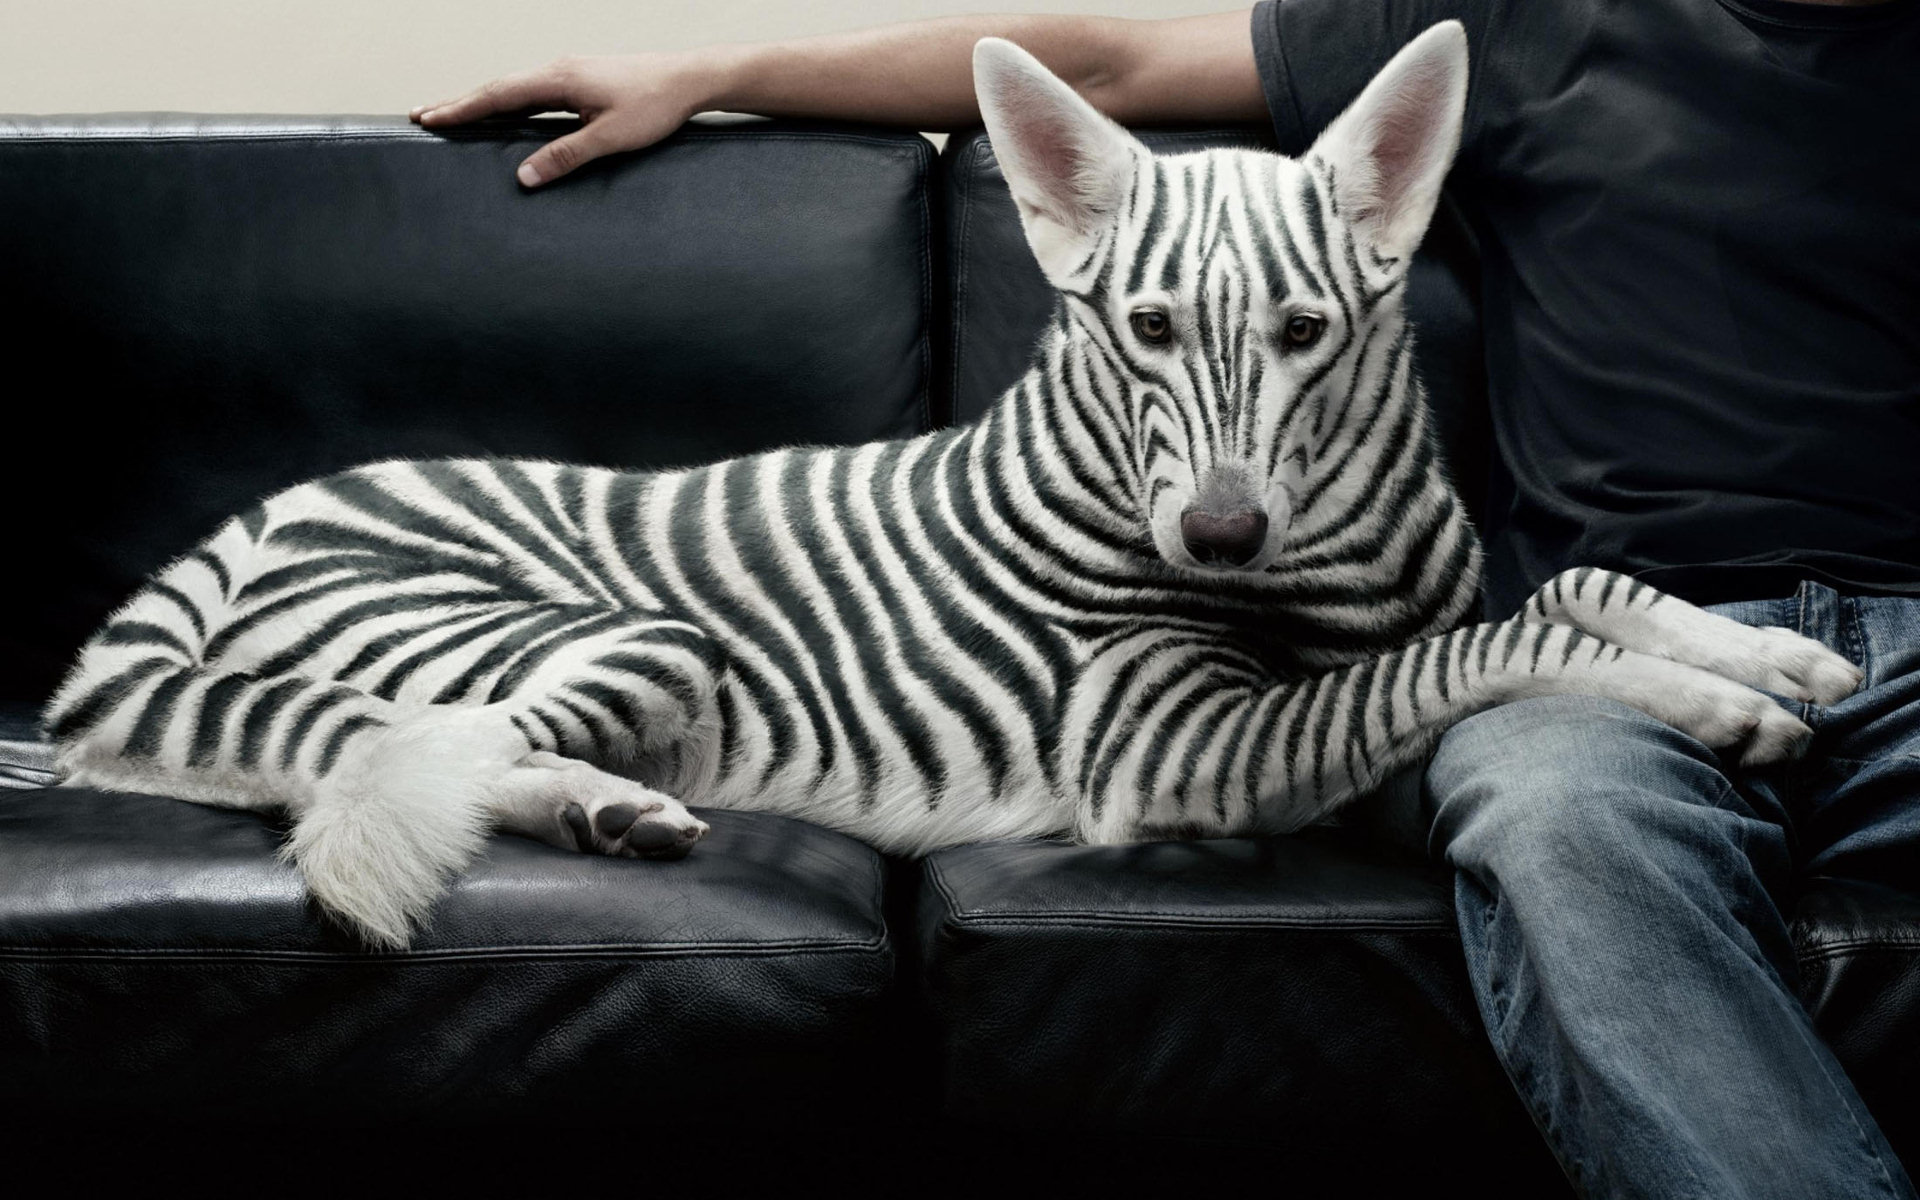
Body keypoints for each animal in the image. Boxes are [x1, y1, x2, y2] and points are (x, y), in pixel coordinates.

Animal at [43, 23, 1860, 949]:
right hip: (616, 635)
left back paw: (610, 814)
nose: (1217, 533)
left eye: (1301, 332)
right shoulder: (1173, 751)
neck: (1328, 571)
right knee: (363, 749)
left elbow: (1569, 589)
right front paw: (1716, 703)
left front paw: (1764, 650)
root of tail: (244, 528)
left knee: (404, 752)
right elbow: (1497, 647)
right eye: (1144, 327)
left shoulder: (1410, 609)